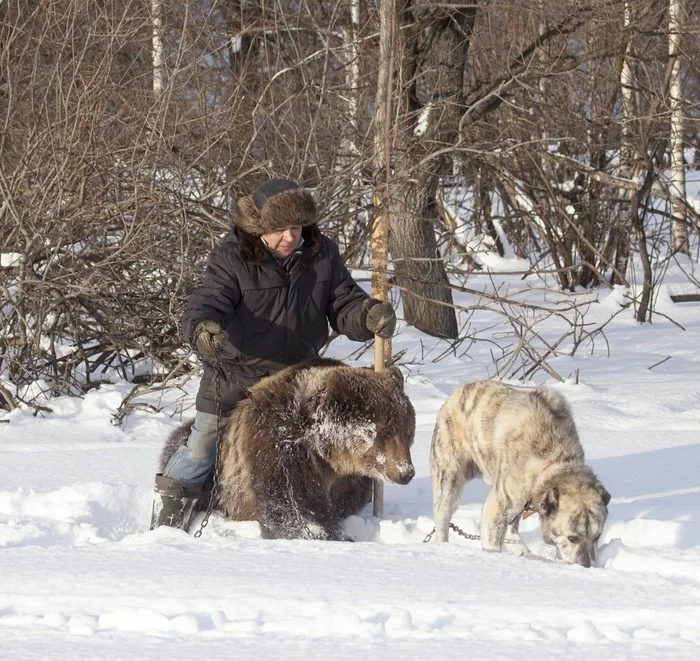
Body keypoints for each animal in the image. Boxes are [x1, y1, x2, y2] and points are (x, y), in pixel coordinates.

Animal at [159, 357, 416, 540]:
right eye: (383, 431)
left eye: (407, 431)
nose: (406, 472)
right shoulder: (279, 448)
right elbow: (294, 507)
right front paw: (331, 534)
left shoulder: (350, 480)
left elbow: (346, 502)